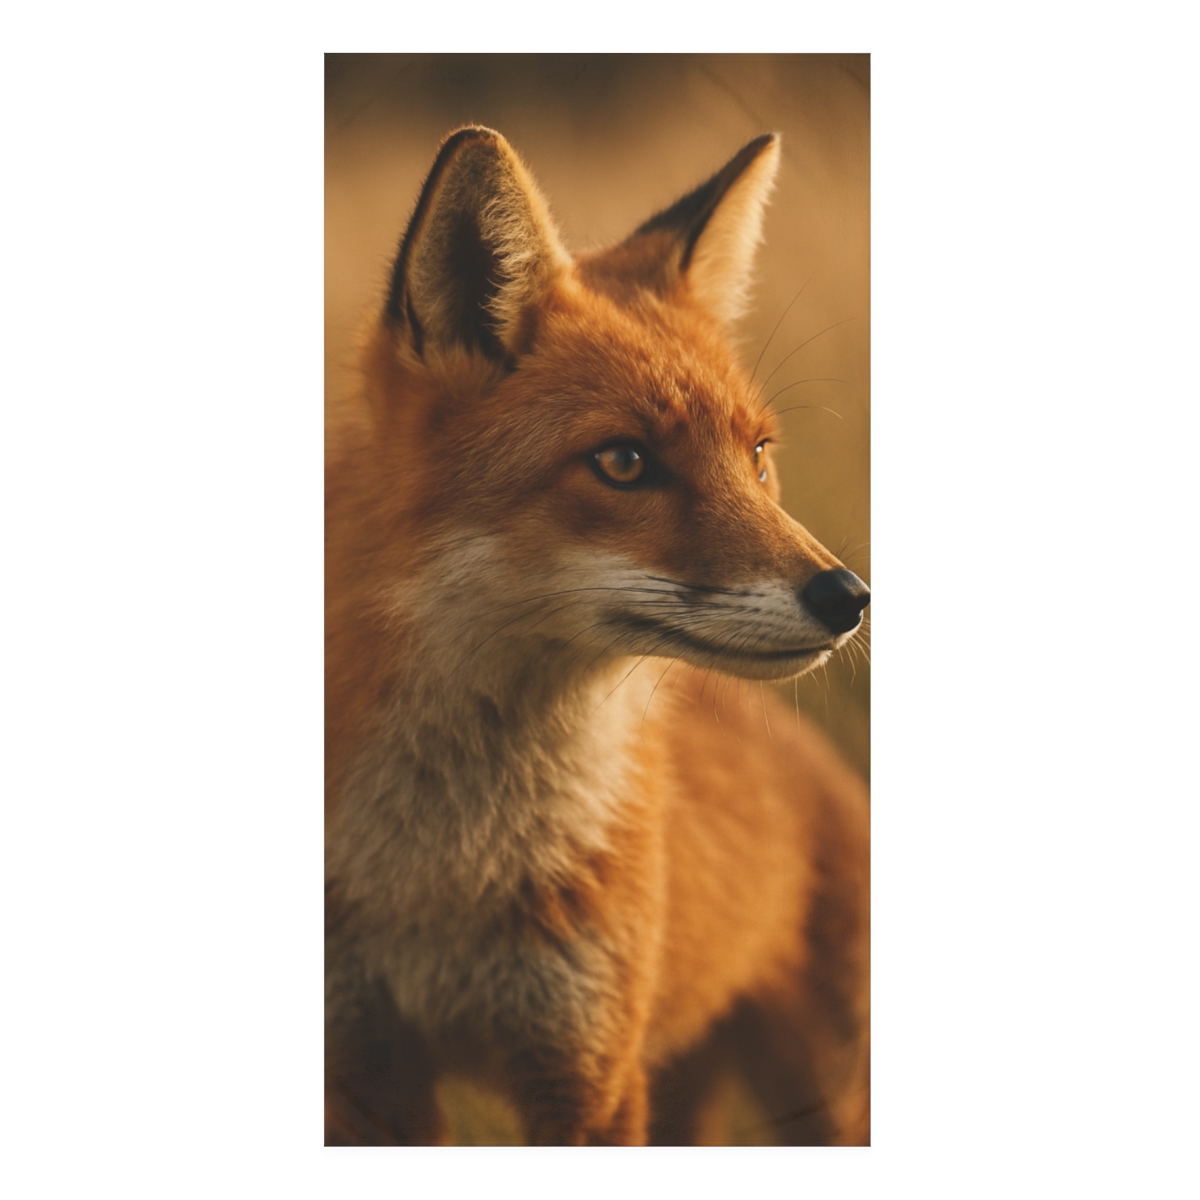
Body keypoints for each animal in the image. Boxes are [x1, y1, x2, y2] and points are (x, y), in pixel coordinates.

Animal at [325, 125, 870, 1146]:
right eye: (624, 462)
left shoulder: (586, 1069)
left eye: (757, 456)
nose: (849, 596)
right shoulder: (364, 1071)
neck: (445, 877)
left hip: (821, 1093)